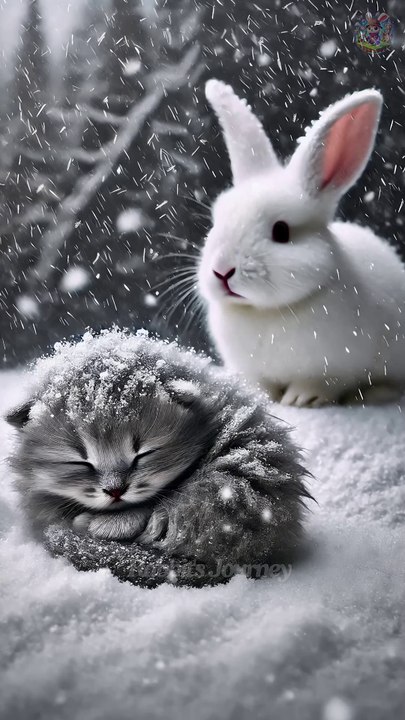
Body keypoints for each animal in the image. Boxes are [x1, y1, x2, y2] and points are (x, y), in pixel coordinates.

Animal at [198, 79, 405, 407]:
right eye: (216, 223)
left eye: (281, 232)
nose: (222, 272)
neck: (267, 312)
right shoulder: (252, 371)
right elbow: (260, 386)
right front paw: (261, 397)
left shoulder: (337, 369)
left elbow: (321, 384)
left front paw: (299, 400)